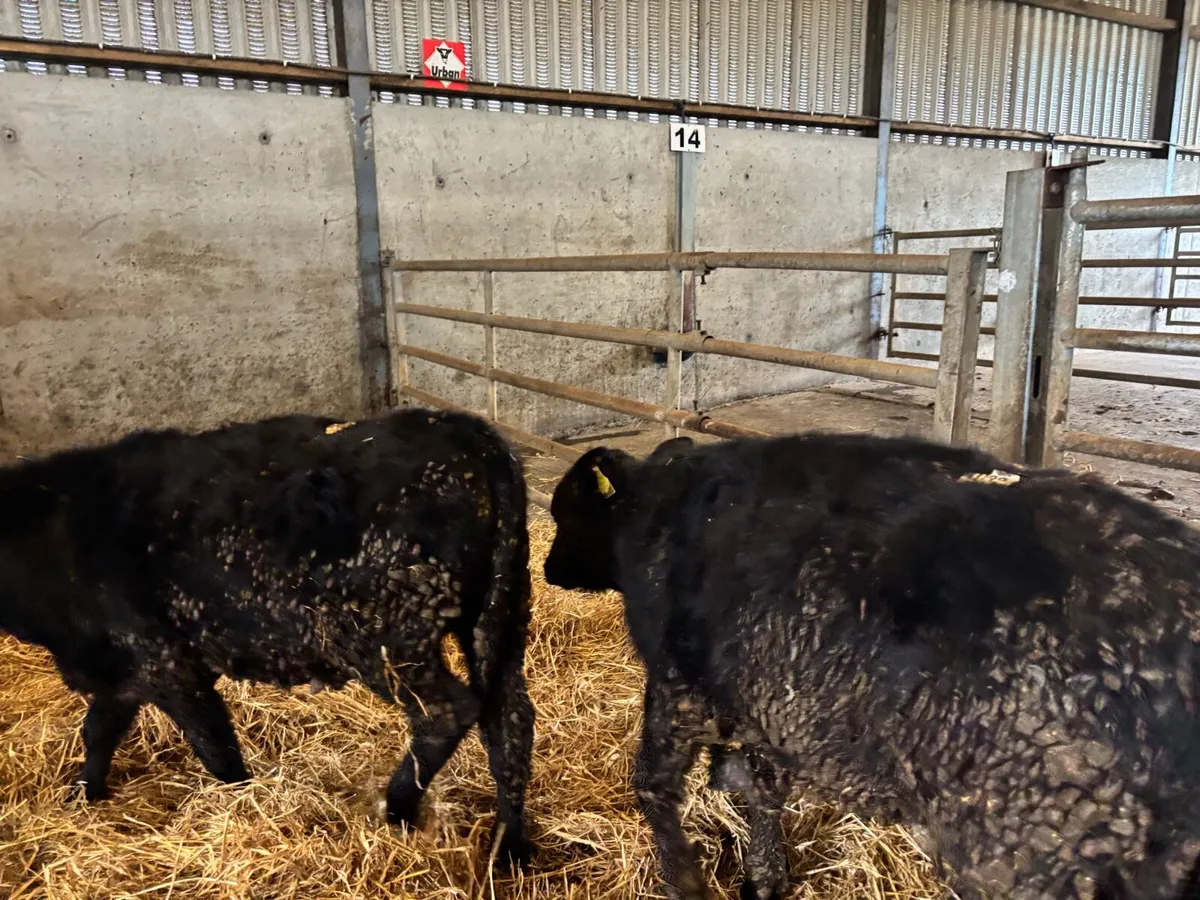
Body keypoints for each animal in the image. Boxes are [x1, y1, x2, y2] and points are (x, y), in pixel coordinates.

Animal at [0, 409, 534, 866]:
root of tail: (463, 428)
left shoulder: (166, 660)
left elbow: (215, 747)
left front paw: (245, 802)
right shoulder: (127, 666)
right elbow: (99, 729)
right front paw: (82, 794)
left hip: (386, 637)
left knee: (446, 712)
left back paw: (398, 807)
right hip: (499, 613)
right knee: (509, 719)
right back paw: (509, 847)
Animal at [543, 432, 1200, 900]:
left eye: (565, 513)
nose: (547, 570)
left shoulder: (681, 686)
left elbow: (655, 787)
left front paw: (686, 882)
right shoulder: (769, 703)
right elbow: (761, 788)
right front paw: (764, 877)